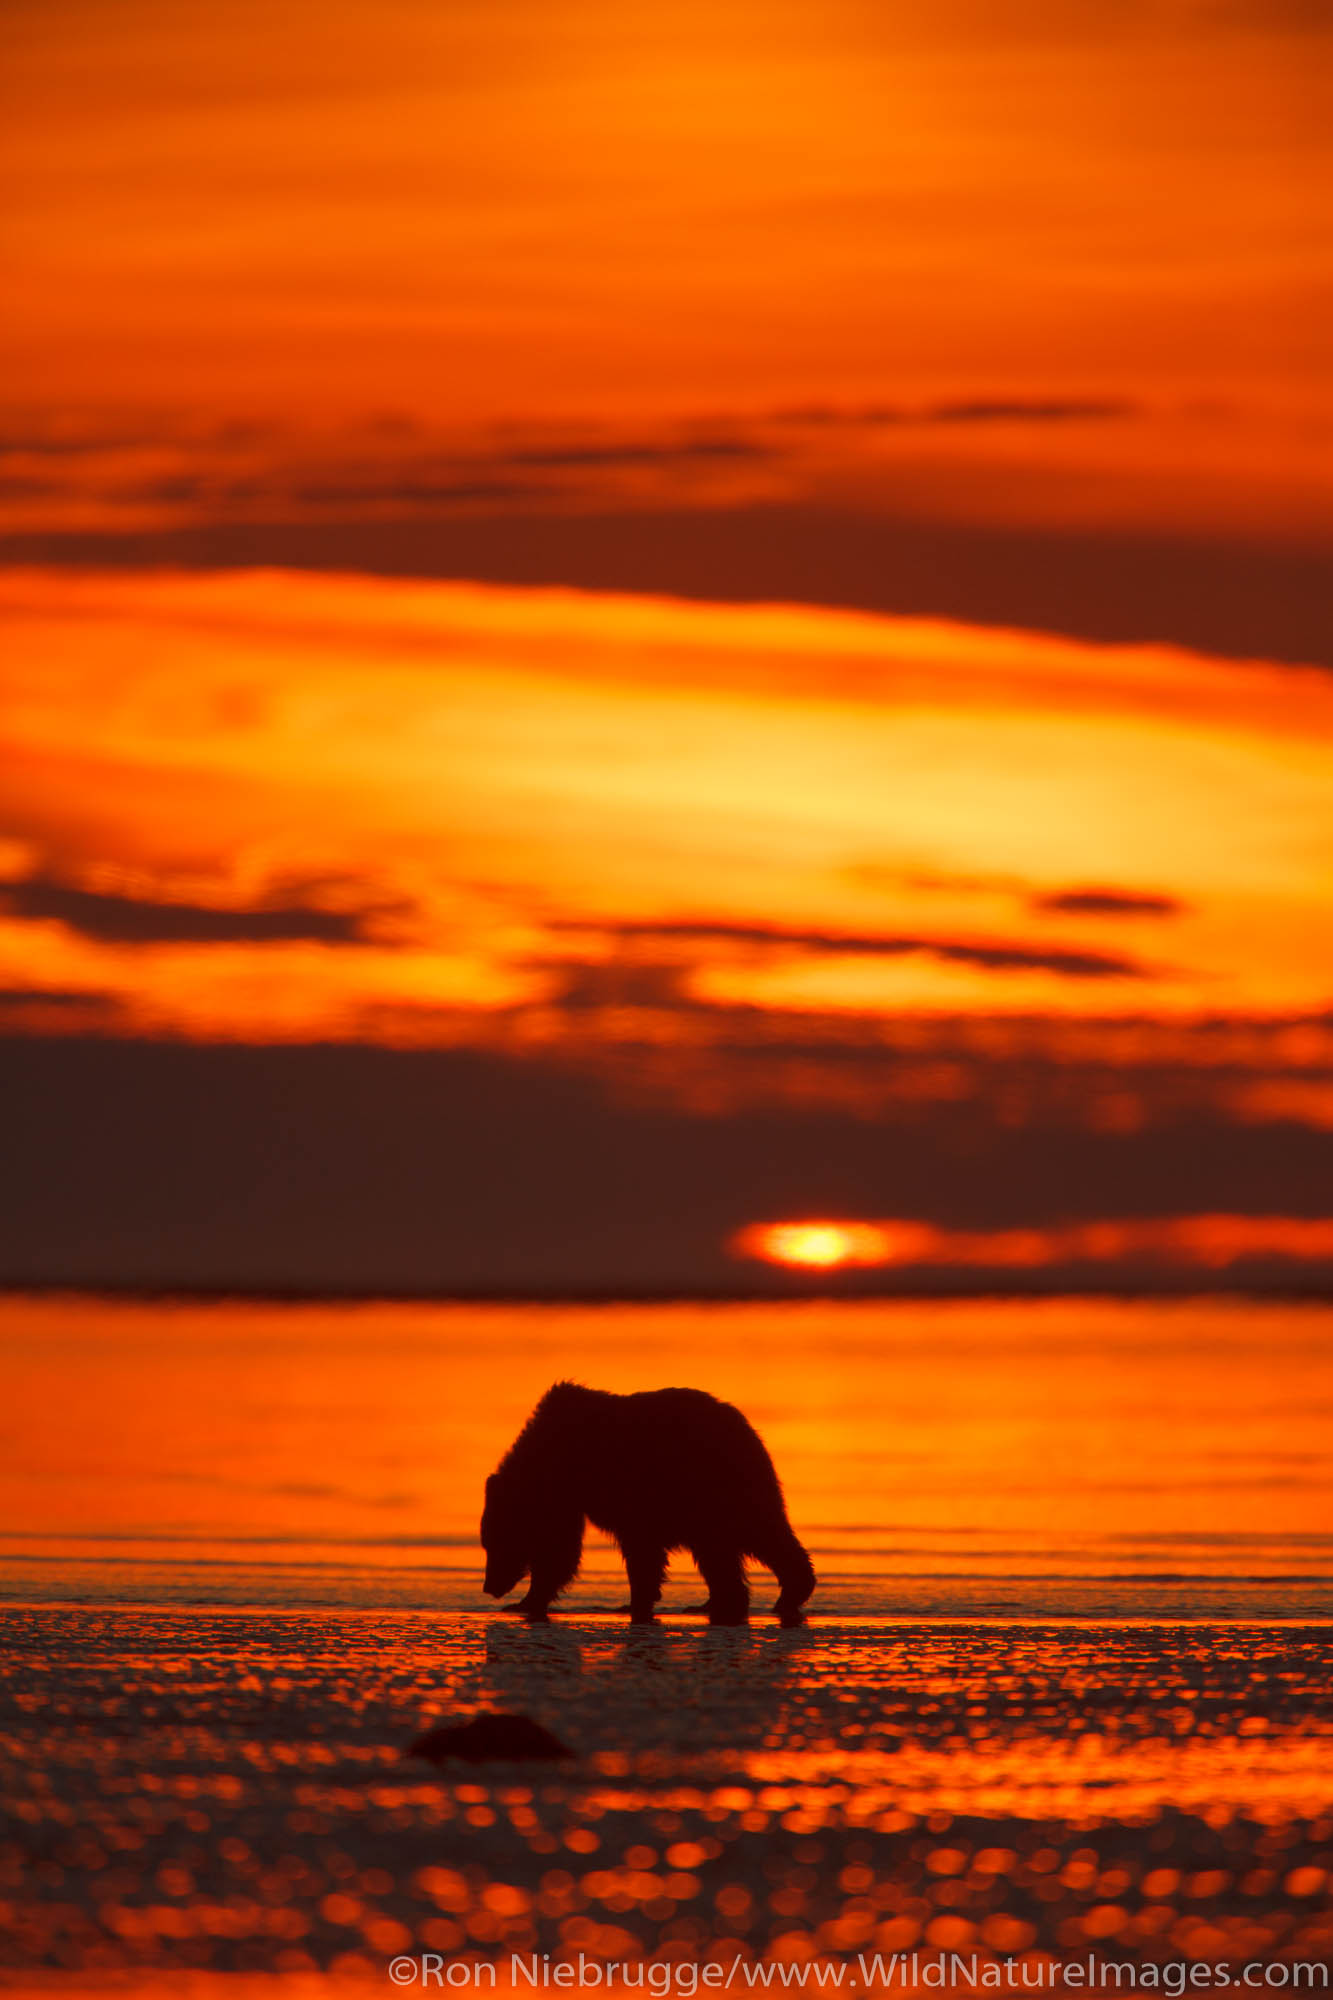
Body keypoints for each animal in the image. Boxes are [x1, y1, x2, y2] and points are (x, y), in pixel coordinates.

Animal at [478, 1384, 808, 1632]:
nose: (489, 1586)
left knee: (757, 1533)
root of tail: (748, 1428)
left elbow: (618, 1550)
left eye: (495, 1541)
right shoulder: (572, 1500)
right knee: (723, 1552)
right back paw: (715, 1602)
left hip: (718, 1489)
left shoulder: (616, 1492)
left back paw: (789, 1593)